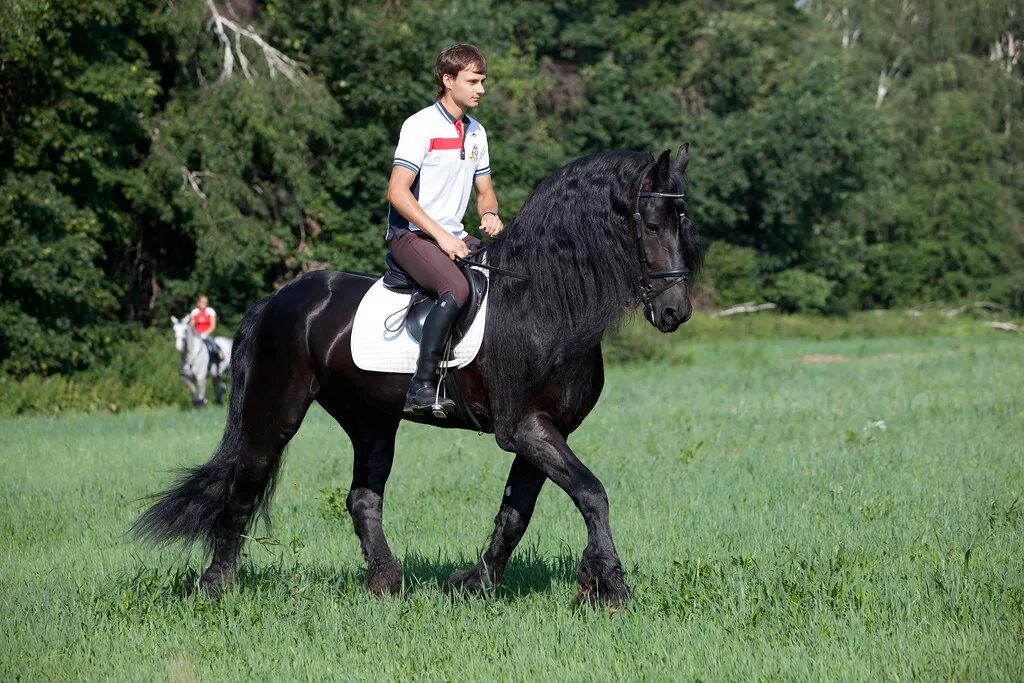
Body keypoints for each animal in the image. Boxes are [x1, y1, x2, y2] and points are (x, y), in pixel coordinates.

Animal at [134, 143, 696, 602]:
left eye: (683, 222)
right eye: (651, 224)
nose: (675, 312)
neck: (542, 303)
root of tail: (277, 300)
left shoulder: (544, 430)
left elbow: (517, 512)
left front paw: (474, 583)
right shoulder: (525, 429)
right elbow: (591, 493)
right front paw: (609, 586)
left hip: (370, 420)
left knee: (363, 498)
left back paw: (385, 582)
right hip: (275, 412)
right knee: (245, 483)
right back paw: (217, 585)